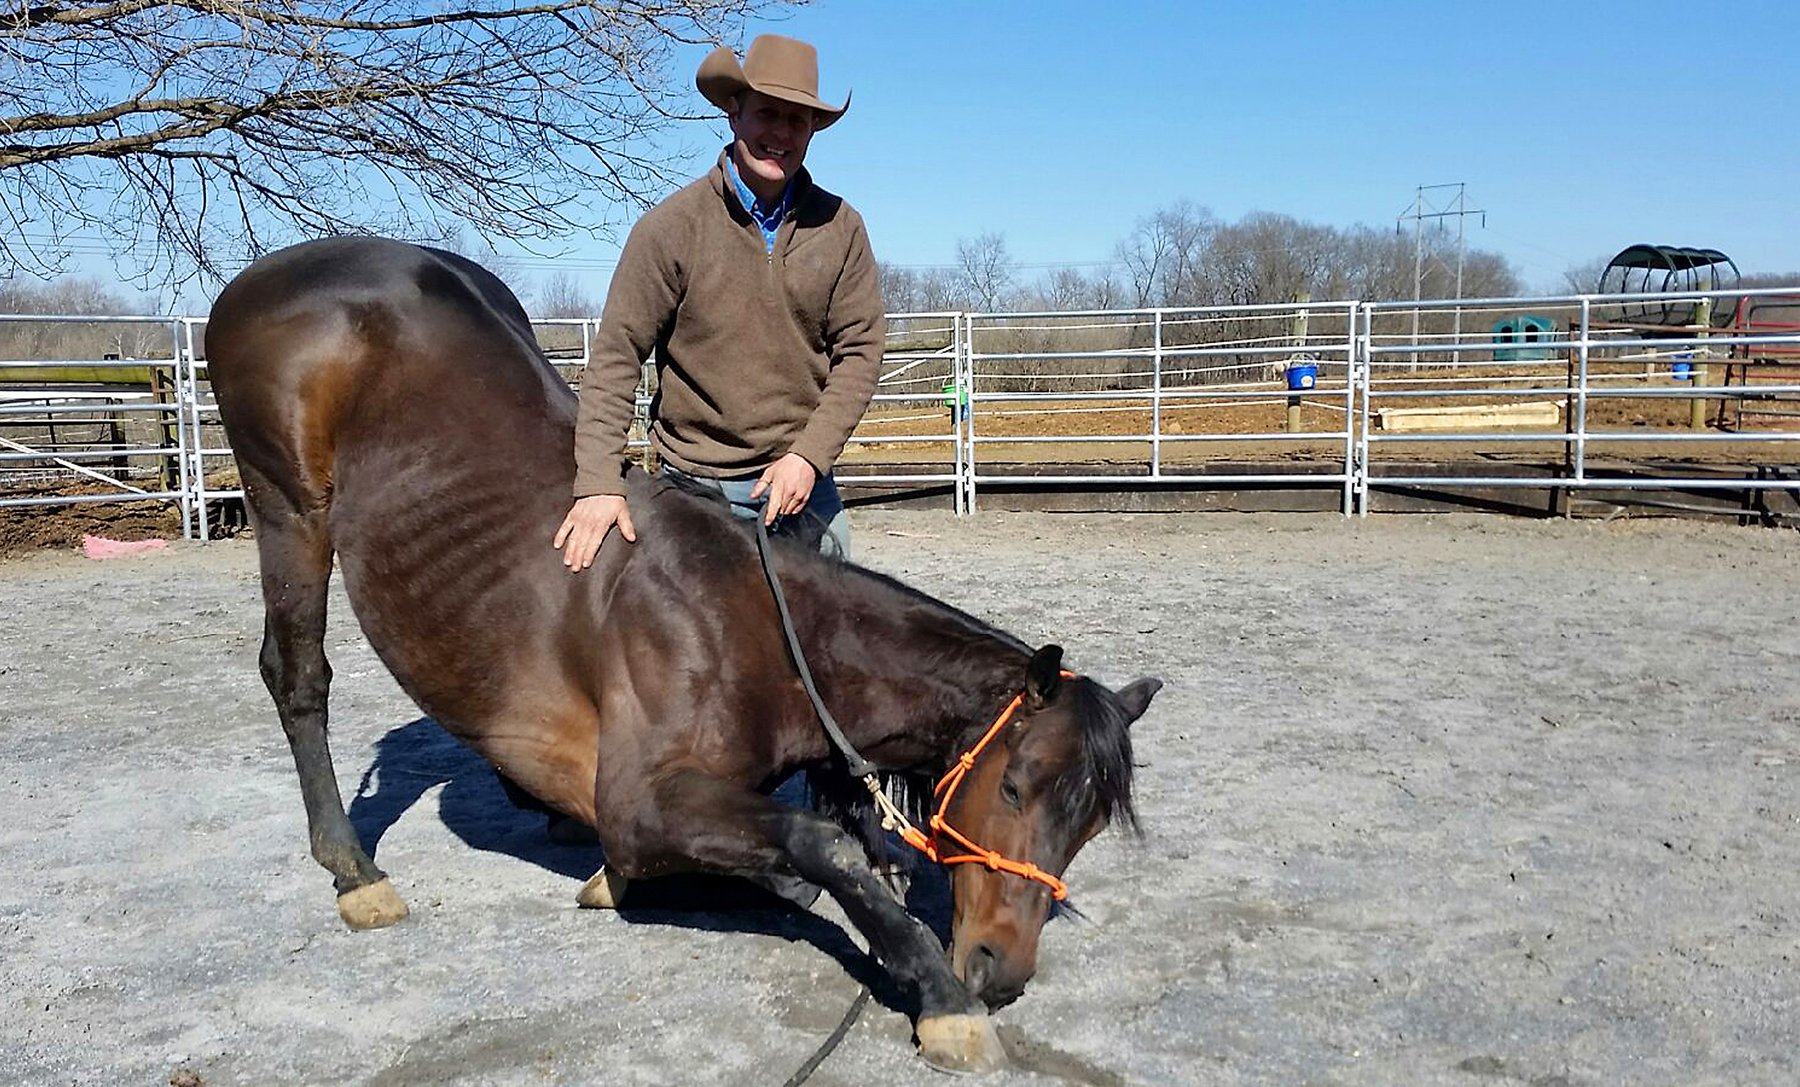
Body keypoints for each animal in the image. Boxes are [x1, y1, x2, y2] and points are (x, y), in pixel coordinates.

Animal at [204, 236, 1162, 1072]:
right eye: (1014, 787)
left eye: (1089, 823)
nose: (1002, 971)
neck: (755, 635)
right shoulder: (642, 804)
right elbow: (818, 845)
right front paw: (940, 996)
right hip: (289, 511)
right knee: (297, 675)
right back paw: (352, 868)